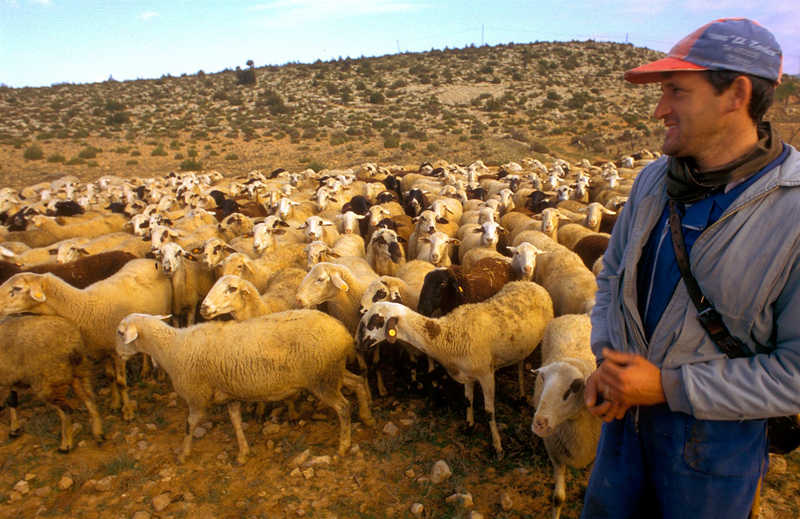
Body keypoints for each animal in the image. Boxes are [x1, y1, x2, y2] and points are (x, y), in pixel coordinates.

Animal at [0, 258, 173, 420]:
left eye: (17, 288)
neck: (85, 308)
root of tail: (147, 259)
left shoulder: (117, 352)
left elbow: (121, 382)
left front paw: (128, 412)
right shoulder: (102, 350)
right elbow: (110, 377)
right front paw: (115, 403)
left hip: (164, 312)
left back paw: (159, 374)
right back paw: (145, 370)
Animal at [0, 314, 104, 452]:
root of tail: (73, 345)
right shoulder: (10, 379)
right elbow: (12, 401)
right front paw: (14, 430)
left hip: (50, 381)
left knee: (66, 410)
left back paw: (65, 445)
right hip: (79, 372)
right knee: (89, 399)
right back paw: (99, 434)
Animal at [115, 310, 376, 466]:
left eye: (119, 332)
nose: (117, 354)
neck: (171, 348)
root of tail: (343, 333)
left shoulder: (197, 397)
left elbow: (190, 425)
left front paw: (183, 454)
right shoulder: (229, 394)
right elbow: (236, 422)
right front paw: (242, 452)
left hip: (322, 379)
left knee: (343, 407)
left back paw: (344, 445)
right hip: (332, 372)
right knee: (358, 382)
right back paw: (367, 417)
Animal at [360, 282, 552, 458]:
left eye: (376, 320)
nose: (360, 343)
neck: (449, 335)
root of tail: (532, 284)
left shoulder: (486, 374)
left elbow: (489, 412)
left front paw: (497, 447)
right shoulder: (467, 374)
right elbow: (468, 401)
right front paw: (469, 426)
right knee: (520, 362)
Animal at [532, 312, 600, 519]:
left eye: (572, 389)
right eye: (542, 381)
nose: (539, 423)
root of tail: (579, 315)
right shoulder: (555, 454)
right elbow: (558, 499)